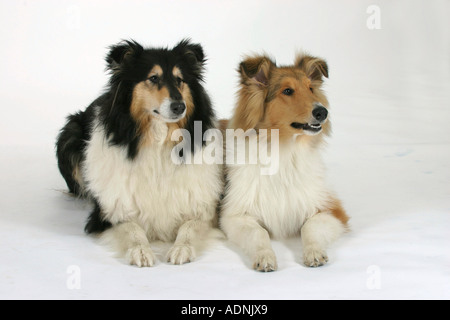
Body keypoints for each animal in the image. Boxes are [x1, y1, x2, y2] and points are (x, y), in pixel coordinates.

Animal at [220, 53, 350, 272]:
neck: (285, 149)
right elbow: (259, 233)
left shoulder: (332, 210)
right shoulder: (235, 215)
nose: (322, 112)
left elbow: (310, 227)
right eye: (287, 91)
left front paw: (314, 252)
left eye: (311, 88)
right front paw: (265, 257)